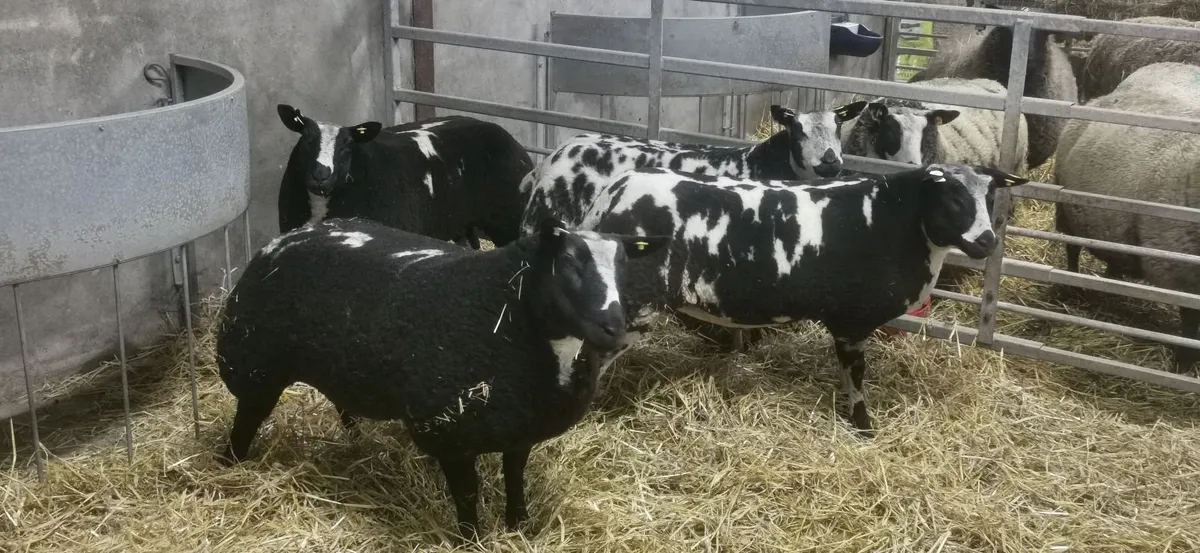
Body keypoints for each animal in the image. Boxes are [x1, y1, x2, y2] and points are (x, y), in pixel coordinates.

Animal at [214, 216, 669, 539]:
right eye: (570, 262)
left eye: (625, 267)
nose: (613, 327)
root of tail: (295, 232)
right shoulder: (449, 431)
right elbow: (467, 495)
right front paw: (471, 539)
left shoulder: (519, 422)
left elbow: (515, 476)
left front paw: (519, 526)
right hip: (253, 363)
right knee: (247, 420)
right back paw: (230, 468)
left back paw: (353, 441)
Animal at [572, 163, 1028, 436]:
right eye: (951, 197)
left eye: (990, 197)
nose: (987, 242)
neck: (895, 223)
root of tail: (615, 192)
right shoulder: (851, 321)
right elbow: (855, 375)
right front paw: (863, 425)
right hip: (632, 307)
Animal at [1053, 61, 1200, 373]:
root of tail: (1098, 99)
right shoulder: (1181, 272)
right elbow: (1190, 323)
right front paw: (1183, 363)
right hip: (1067, 208)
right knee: (1072, 249)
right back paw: (1072, 287)